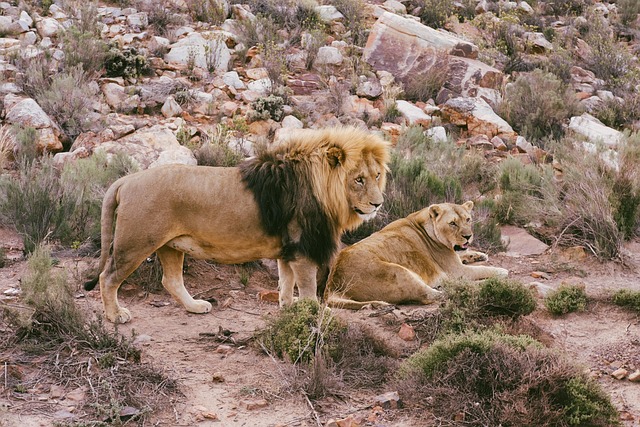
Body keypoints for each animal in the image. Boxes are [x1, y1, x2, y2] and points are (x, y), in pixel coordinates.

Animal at [84, 127, 391, 323]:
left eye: (377, 175)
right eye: (359, 179)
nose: (378, 204)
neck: (323, 189)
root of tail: (127, 179)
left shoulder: (288, 250)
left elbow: (285, 285)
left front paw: (288, 312)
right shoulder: (303, 250)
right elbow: (306, 289)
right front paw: (312, 316)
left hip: (170, 245)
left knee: (170, 280)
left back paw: (196, 307)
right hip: (136, 243)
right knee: (107, 277)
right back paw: (116, 316)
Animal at [325, 201, 508, 310]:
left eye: (468, 219)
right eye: (452, 223)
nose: (468, 236)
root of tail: (333, 282)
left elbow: (466, 255)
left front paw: (480, 255)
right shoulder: (456, 270)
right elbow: (483, 270)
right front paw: (501, 271)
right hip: (398, 272)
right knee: (432, 294)